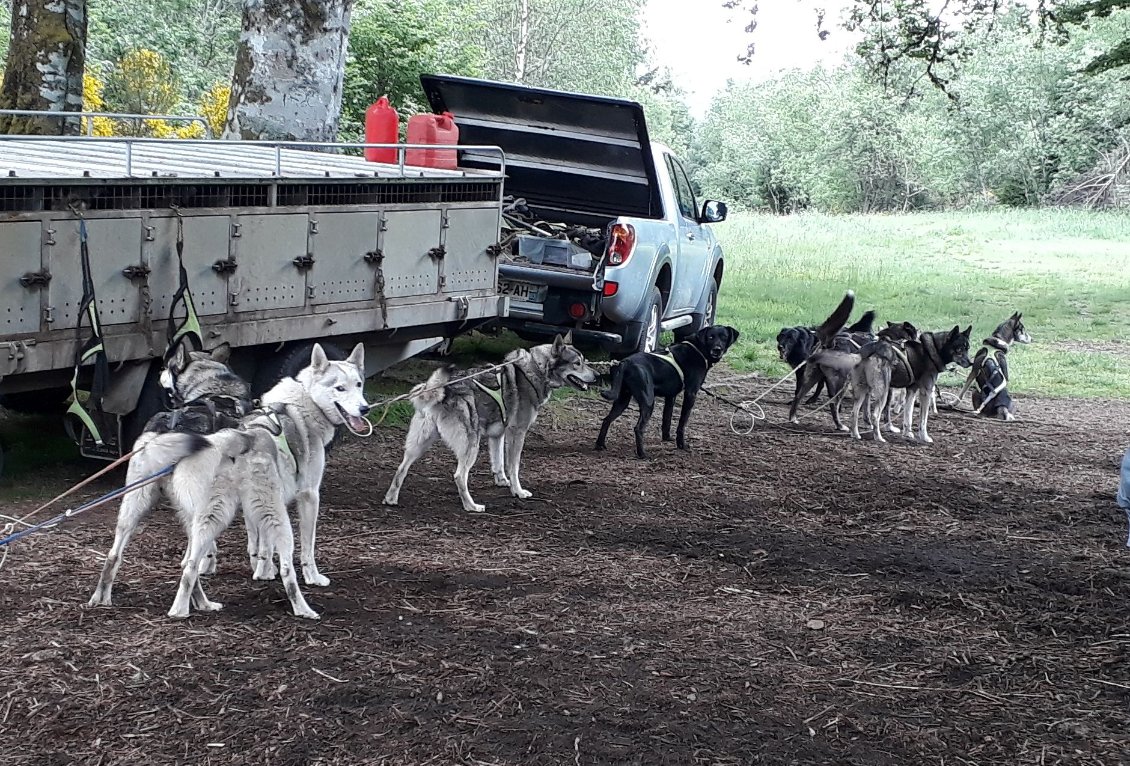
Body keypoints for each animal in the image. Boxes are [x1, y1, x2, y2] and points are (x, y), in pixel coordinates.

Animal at [89, 345, 370, 619]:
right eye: (340, 388)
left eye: (359, 384)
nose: (365, 408)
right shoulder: (308, 495)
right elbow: (305, 548)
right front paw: (306, 576)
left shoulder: (253, 504)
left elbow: (257, 540)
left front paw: (260, 567)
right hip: (255, 514)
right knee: (279, 567)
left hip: (141, 509)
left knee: (124, 556)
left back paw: (110, 599)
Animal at [384, 332, 601, 512]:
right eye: (577, 363)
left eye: (584, 361)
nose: (598, 376)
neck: (536, 369)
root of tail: (441, 389)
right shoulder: (517, 432)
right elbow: (514, 466)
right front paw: (517, 491)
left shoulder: (498, 435)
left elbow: (499, 462)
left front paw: (502, 481)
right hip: (470, 445)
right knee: (459, 476)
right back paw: (471, 506)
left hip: (420, 444)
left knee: (401, 468)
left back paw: (391, 498)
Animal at [592, 325, 741, 463]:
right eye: (710, 337)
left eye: (724, 337)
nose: (717, 349)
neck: (698, 349)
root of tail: (626, 362)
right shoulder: (691, 394)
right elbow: (682, 423)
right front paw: (681, 445)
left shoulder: (671, 396)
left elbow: (667, 418)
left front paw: (667, 438)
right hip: (648, 401)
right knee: (638, 428)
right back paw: (642, 454)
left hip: (622, 400)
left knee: (606, 420)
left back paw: (600, 445)